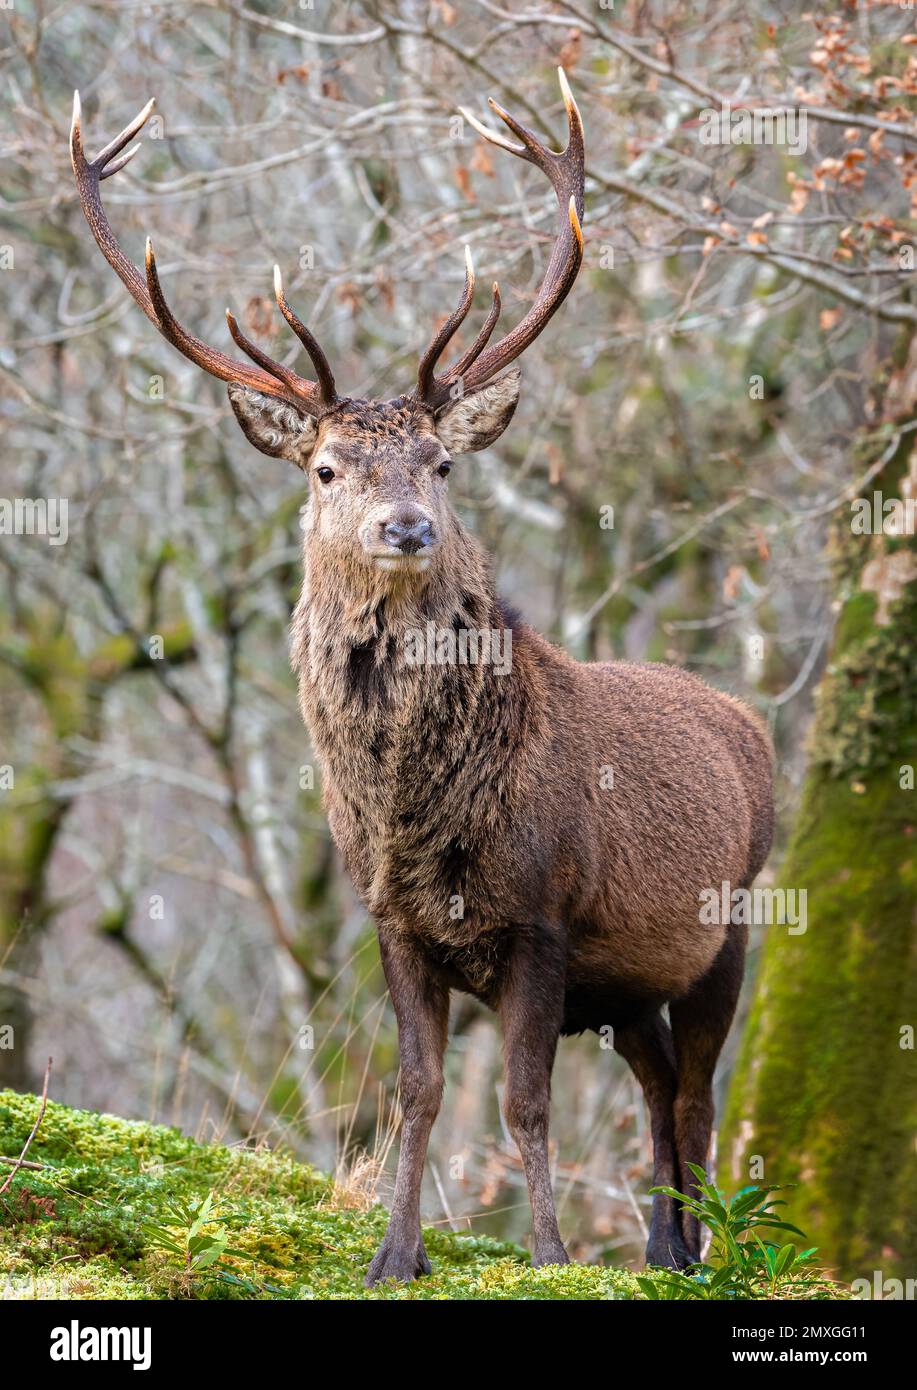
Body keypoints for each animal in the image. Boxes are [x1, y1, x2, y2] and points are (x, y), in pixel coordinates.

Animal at [71, 74, 774, 1285]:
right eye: (324, 467)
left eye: (441, 462)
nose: (404, 526)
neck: (416, 811)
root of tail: (751, 726)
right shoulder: (392, 918)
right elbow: (417, 1089)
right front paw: (393, 1254)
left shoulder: (544, 914)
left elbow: (525, 1101)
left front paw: (546, 1251)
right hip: (628, 981)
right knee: (653, 1085)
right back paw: (659, 1246)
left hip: (725, 927)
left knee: (694, 1097)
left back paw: (694, 1251)